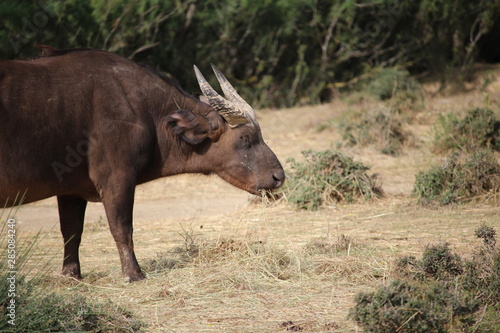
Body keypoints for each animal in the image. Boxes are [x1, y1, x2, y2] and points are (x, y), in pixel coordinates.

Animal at [0, 46, 284, 280]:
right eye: (245, 138)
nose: (279, 176)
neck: (146, 111)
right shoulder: (117, 179)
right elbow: (122, 227)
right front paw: (134, 273)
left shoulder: (70, 191)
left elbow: (71, 231)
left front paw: (70, 275)